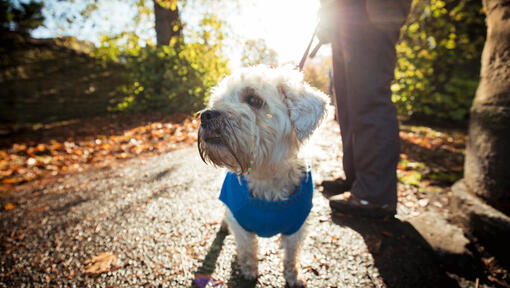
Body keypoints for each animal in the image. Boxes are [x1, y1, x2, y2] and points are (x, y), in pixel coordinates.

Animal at [197, 65, 324, 286]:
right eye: (217, 100)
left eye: (253, 99)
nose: (206, 115)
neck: (266, 176)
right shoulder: (241, 226)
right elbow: (248, 250)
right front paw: (249, 271)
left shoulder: (297, 229)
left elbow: (291, 256)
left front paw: (293, 276)